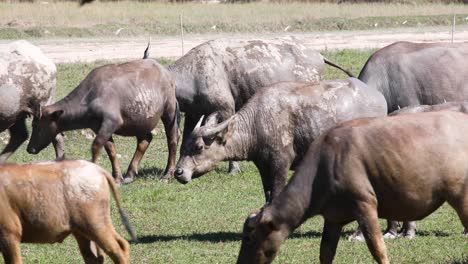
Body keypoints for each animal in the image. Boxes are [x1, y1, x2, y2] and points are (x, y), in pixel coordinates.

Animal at [27, 51, 179, 185]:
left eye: (37, 126)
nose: (30, 149)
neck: (90, 96)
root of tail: (164, 71)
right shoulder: (99, 127)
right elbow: (111, 150)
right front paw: (117, 177)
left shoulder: (111, 122)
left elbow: (96, 145)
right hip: (141, 120)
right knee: (145, 139)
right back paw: (130, 174)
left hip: (169, 111)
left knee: (172, 140)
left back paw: (167, 175)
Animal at [170, 37, 352, 173]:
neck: (194, 75)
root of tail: (318, 55)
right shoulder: (193, 115)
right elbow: (185, 140)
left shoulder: (226, 110)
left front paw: (233, 169)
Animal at [174, 77, 386, 201]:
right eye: (185, 146)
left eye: (199, 147)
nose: (178, 172)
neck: (257, 122)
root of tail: (379, 97)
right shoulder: (263, 166)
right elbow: (267, 194)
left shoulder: (281, 163)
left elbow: (276, 194)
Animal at [239, 111, 466, 264]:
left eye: (249, 238)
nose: (240, 263)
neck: (325, 164)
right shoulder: (333, 218)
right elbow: (325, 252)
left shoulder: (365, 205)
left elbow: (378, 249)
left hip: (461, 197)